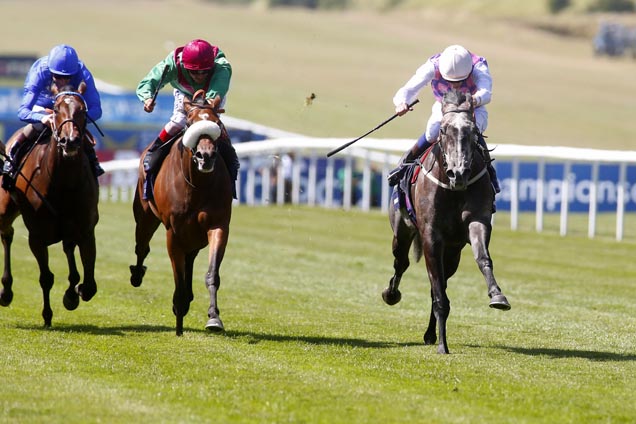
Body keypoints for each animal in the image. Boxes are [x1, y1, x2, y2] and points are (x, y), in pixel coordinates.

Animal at [0, 83, 99, 328]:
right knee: (6, 234)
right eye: (55, 108)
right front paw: (47, 315)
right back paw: (6, 291)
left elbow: (88, 285)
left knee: (68, 248)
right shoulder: (36, 234)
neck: (62, 181)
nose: (70, 141)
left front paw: (73, 294)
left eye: (83, 110)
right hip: (5, 209)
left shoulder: (86, 228)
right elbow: (46, 277)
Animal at [130, 91, 235, 336]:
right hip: (145, 216)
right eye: (189, 123)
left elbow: (212, 274)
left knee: (190, 257)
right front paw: (179, 316)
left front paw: (214, 318)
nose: (206, 156)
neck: (197, 185)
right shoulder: (174, 232)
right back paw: (137, 274)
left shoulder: (217, 225)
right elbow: (177, 276)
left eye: (217, 124)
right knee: (142, 247)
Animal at [382, 88, 512, 354]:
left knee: (437, 284)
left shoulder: (476, 221)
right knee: (401, 263)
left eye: (473, 131)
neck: (453, 189)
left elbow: (483, 258)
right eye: (443, 130)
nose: (458, 173)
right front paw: (443, 345)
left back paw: (431, 333)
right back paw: (391, 294)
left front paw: (497, 296)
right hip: (402, 232)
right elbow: (438, 290)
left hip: (452, 253)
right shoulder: (431, 236)